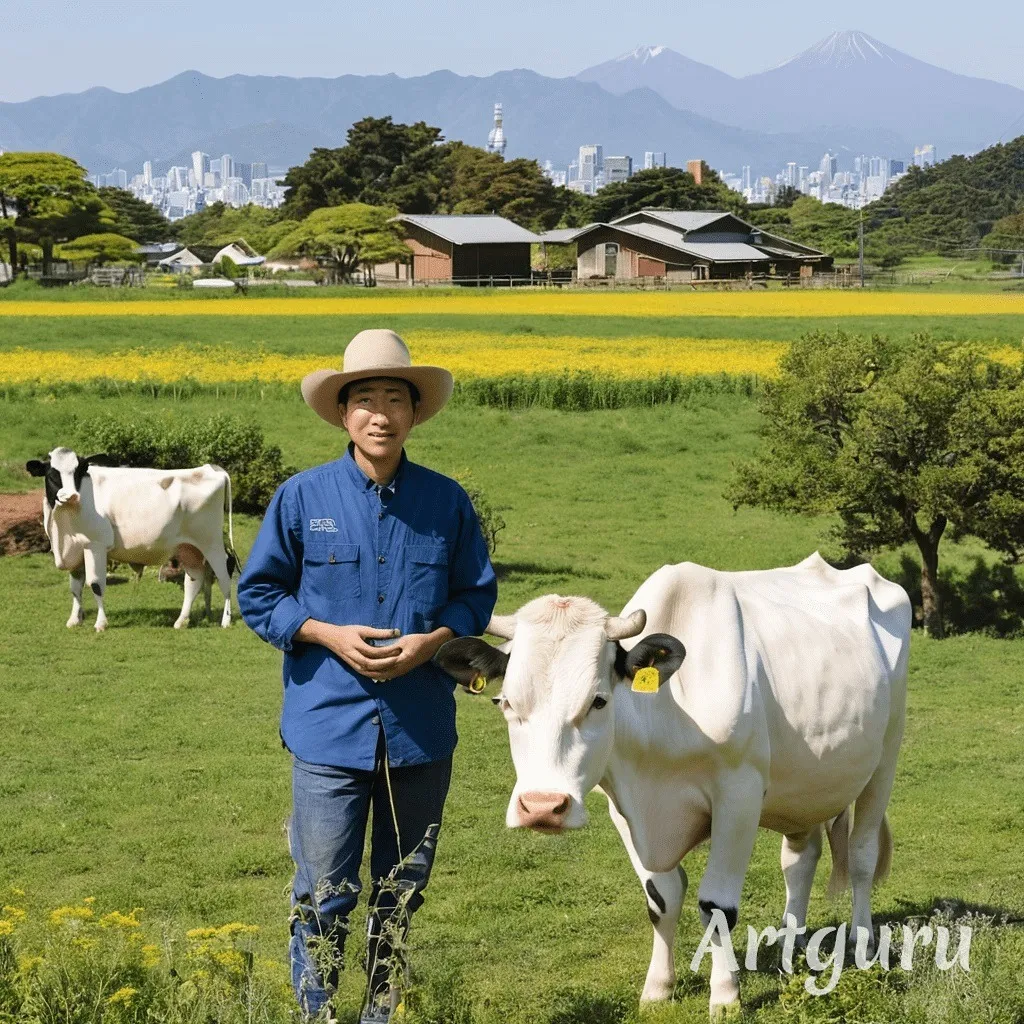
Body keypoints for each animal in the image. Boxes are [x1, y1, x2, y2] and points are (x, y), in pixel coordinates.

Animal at [27, 448, 237, 630]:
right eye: (52, 474)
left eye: (78, 471)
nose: (70, 496)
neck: (62, 529)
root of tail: (210, 468)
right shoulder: (76, 549)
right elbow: (76, 587)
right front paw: (74, 620)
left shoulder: (96, 545)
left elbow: (95, 584)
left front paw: (100, 623)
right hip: (188, 547)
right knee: (194, 580)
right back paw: (181, 621)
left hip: (211, 544)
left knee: (224, 576)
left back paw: (225, 620)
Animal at [436, 552, 909, 1007]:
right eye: (505, 702)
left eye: (598, 701)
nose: (542, 807)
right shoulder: (623, 806)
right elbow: (661, 898)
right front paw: (658, 988)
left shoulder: (739, 794)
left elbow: (717, 907)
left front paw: (725, 996)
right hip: (804, 785)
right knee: (799, 858)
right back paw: (790, 944)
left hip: (885, 758)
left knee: (862, 855)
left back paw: (863, 944)